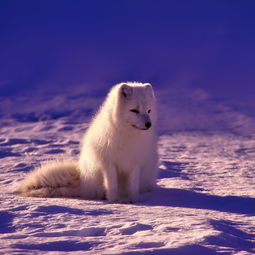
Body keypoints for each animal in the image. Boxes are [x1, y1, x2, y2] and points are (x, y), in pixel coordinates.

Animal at [17, 82, 157, 203]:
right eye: (134, 110)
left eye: (149, 111)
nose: (148, 124)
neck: (128, 135)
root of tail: (82, 181)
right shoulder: (108, 163)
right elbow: (111, 185)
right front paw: (115, 200)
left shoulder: (135, 162)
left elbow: (133, 185)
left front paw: (135, 200)